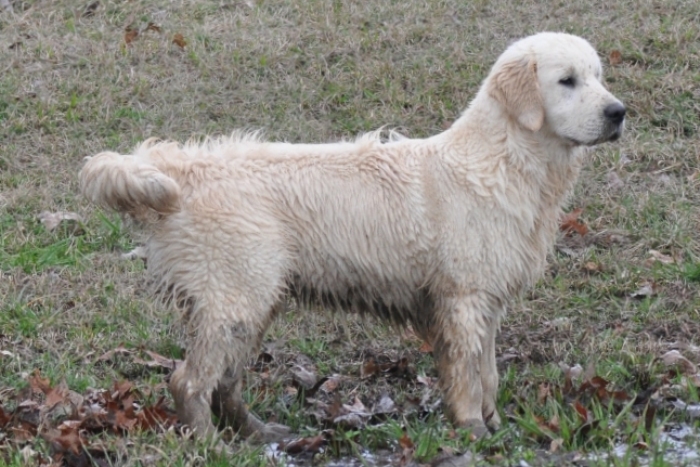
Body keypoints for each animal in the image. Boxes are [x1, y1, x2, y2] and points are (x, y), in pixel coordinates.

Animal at [79, 32, 628, 442]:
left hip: (254, 298)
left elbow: (487, 371)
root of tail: (181, 168)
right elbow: (469, 374)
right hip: (236, 295)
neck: (502, 161)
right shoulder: (464, 299)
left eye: (598, 76)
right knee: (189, 381)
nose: (619, 112)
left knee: (225, 382)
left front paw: (494, 424)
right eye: (567, 81)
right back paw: (210, 444)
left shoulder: (487, 301)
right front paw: (474, 430)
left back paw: (259, 433)